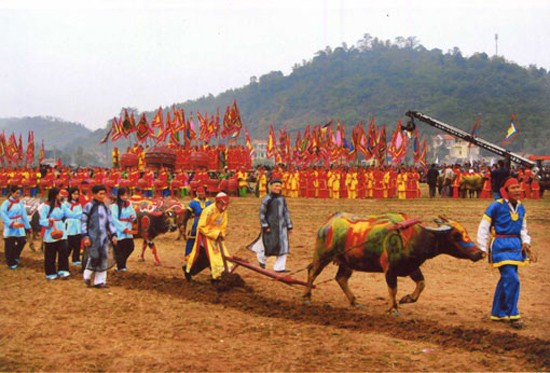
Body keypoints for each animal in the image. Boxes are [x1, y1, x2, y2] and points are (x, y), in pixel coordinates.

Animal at [304, 211, 486, 312]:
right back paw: (307, 297)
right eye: (456, 235)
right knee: (312, 272)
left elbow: (421, 284)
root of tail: (328, 222)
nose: (480, 253)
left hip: (347, 263)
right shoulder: (390, 270)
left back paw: (355, 302)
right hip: (322, 256)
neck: (412, 237)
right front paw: (393, 308)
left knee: (341, 278)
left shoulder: (412, 267)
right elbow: (393, 289)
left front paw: (407, 299)